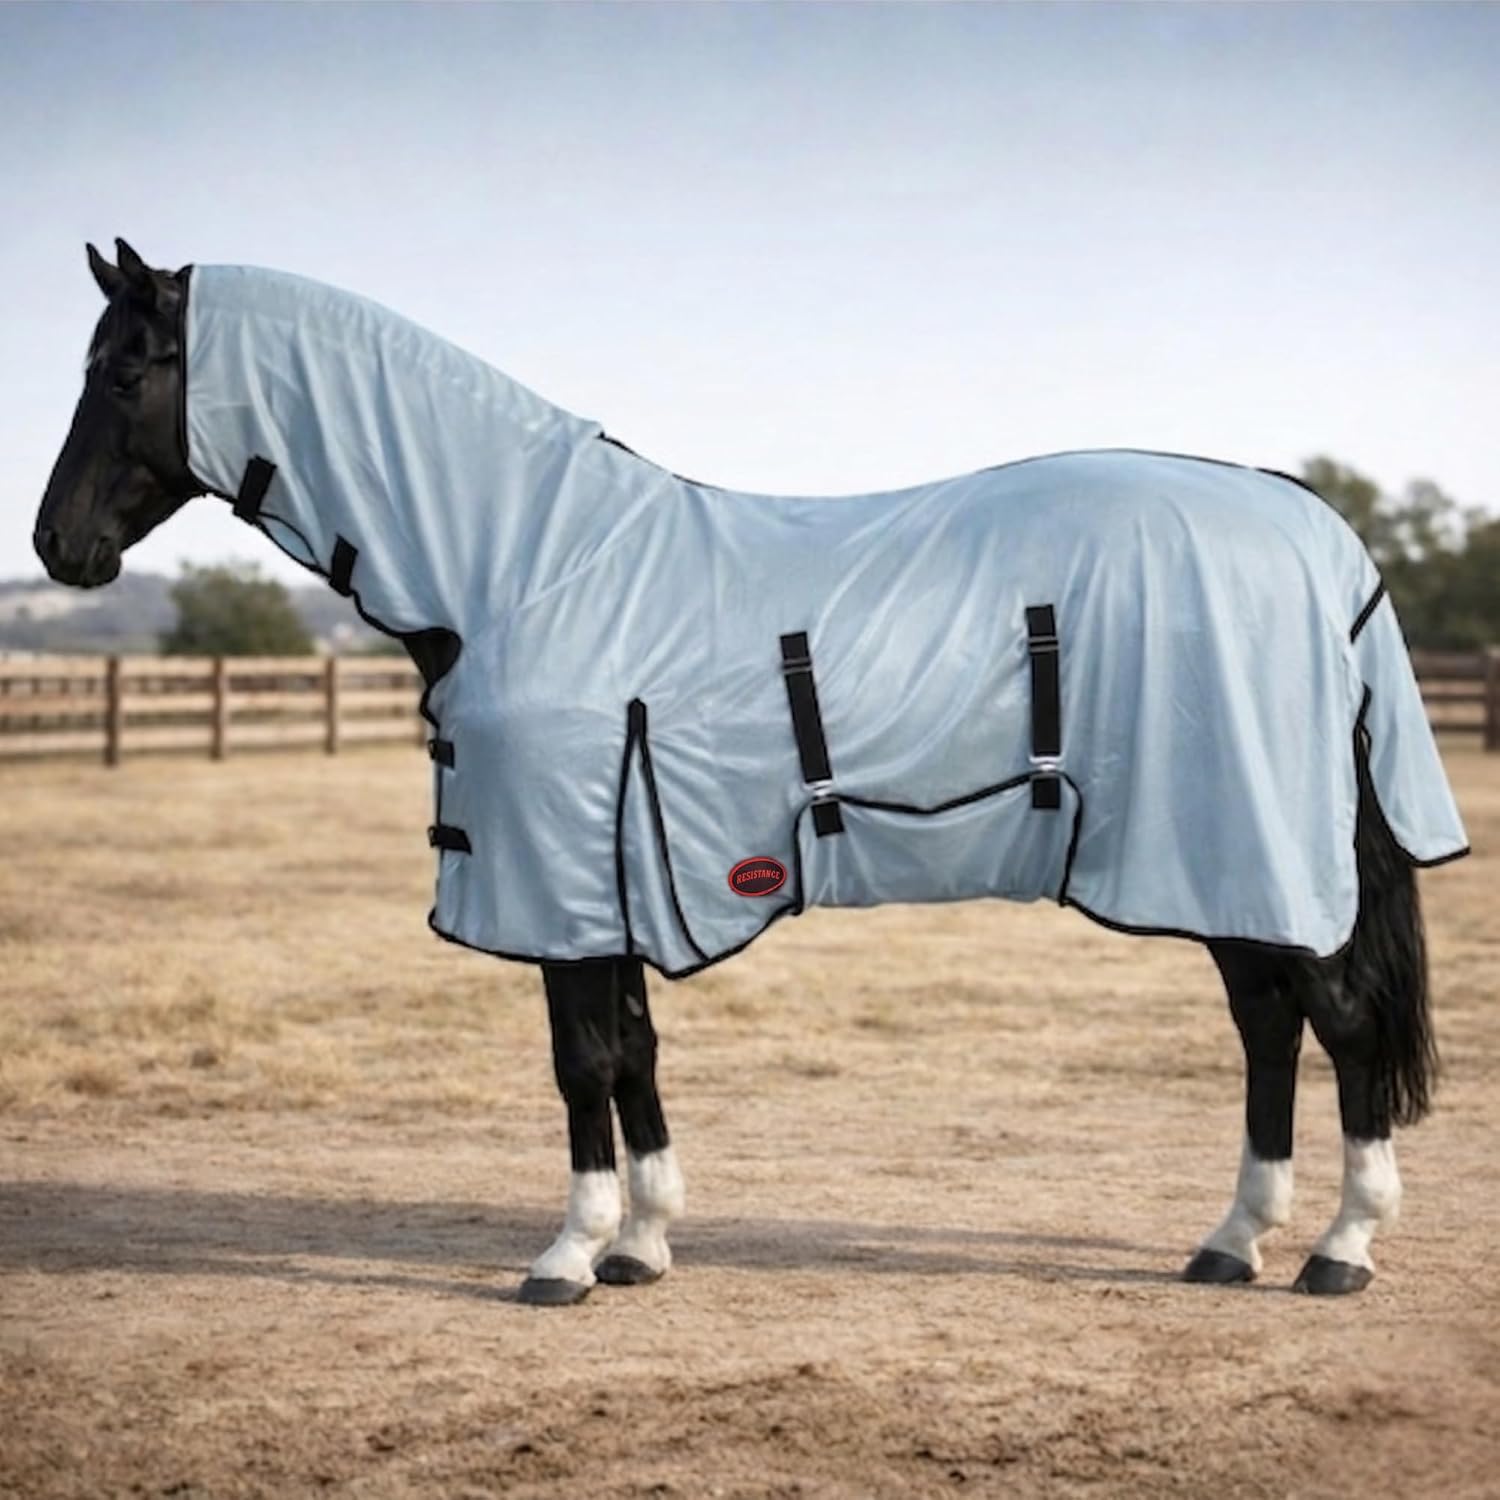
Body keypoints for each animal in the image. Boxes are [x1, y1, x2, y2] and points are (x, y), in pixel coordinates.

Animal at [33, 240, 1468, 1305]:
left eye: (127, 368)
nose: (58, 548)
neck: (526, 563)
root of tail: (1314, 527)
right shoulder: (611, 872)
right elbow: (632, 1052)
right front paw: (642, 1243)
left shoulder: (564, 877)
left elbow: (581, 1062)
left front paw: (567, 1256)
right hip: (1220, 864)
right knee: (1269, 1026)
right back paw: (1233, 1241)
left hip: (1249, 849)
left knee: (1339, 1023)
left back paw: (1340, 1249)